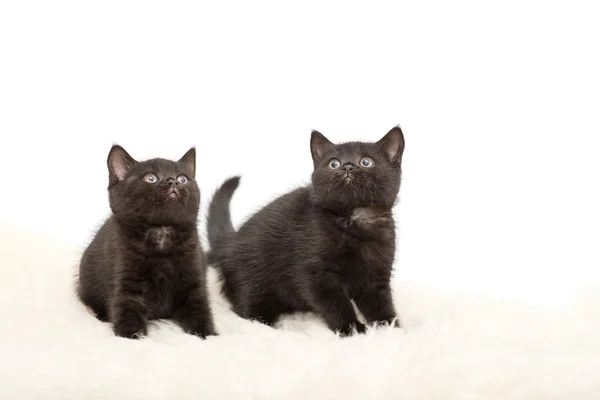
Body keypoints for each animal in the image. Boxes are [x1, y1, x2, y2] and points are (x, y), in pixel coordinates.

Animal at [76, 145, 214, 340]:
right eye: (151, 178)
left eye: (183, 178)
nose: (173, 181)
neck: (162, 231)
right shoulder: (128, 283)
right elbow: (128, 313)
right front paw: (133, 337)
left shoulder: (193, 279)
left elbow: (200, 310)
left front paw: (207, 335)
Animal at [209, 126, 406, 336]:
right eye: (334, 163)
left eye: (366, 162)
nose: (347, 167)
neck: (355, 220)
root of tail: (229, 242)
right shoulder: (315, 275)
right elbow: (336, 303)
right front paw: (351, 329)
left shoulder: (376, 276)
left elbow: (381, 304)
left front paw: (391, 328)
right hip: (252, 280)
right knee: (247, 308)